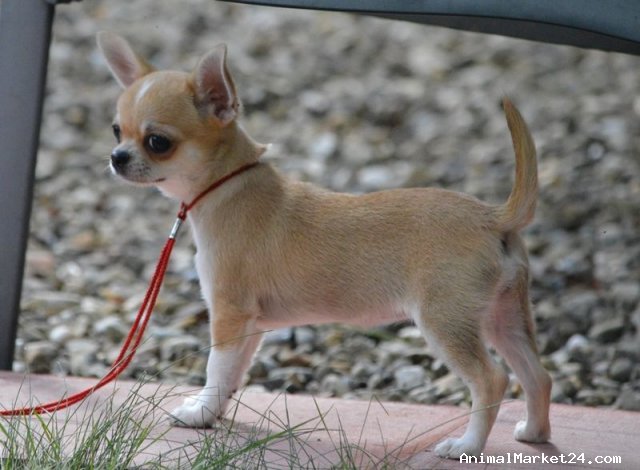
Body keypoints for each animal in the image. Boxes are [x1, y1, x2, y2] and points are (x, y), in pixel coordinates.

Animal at [96, 31, 551, 459]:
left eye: (158, 142)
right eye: (116, 131)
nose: (117, 157)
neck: (229, 185)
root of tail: (492, 215)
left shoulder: (228, 314)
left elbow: (215, 366)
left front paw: (200, 413)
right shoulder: (251, 324)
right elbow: (232, 374)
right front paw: (213, 414)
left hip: (445, 323)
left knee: (492, 380)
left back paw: (466, 445)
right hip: (505, 318)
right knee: (537, 375)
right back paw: (534, 433)